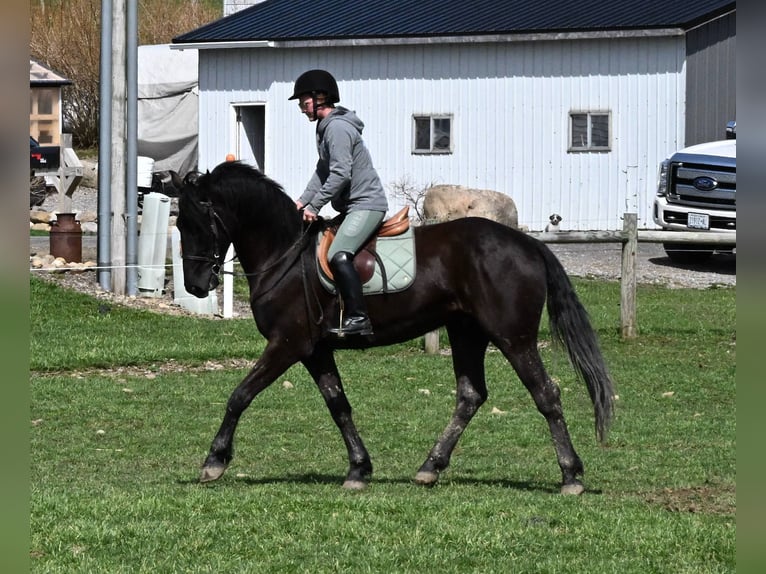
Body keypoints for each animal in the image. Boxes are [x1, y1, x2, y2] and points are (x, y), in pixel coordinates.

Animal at [177, 161, 615, 495]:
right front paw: (358, 469)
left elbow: (239, 395)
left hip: (513, 337)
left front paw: (214, 461)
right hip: (465, 332)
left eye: (195, 223)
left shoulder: (287, 344)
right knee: (470, 396)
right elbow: (338, 405)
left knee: (545, 394)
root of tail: (529, 245)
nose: (196, 286)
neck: (285, 254)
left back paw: (571, 475)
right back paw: (430, 467)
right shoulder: (315, 350)